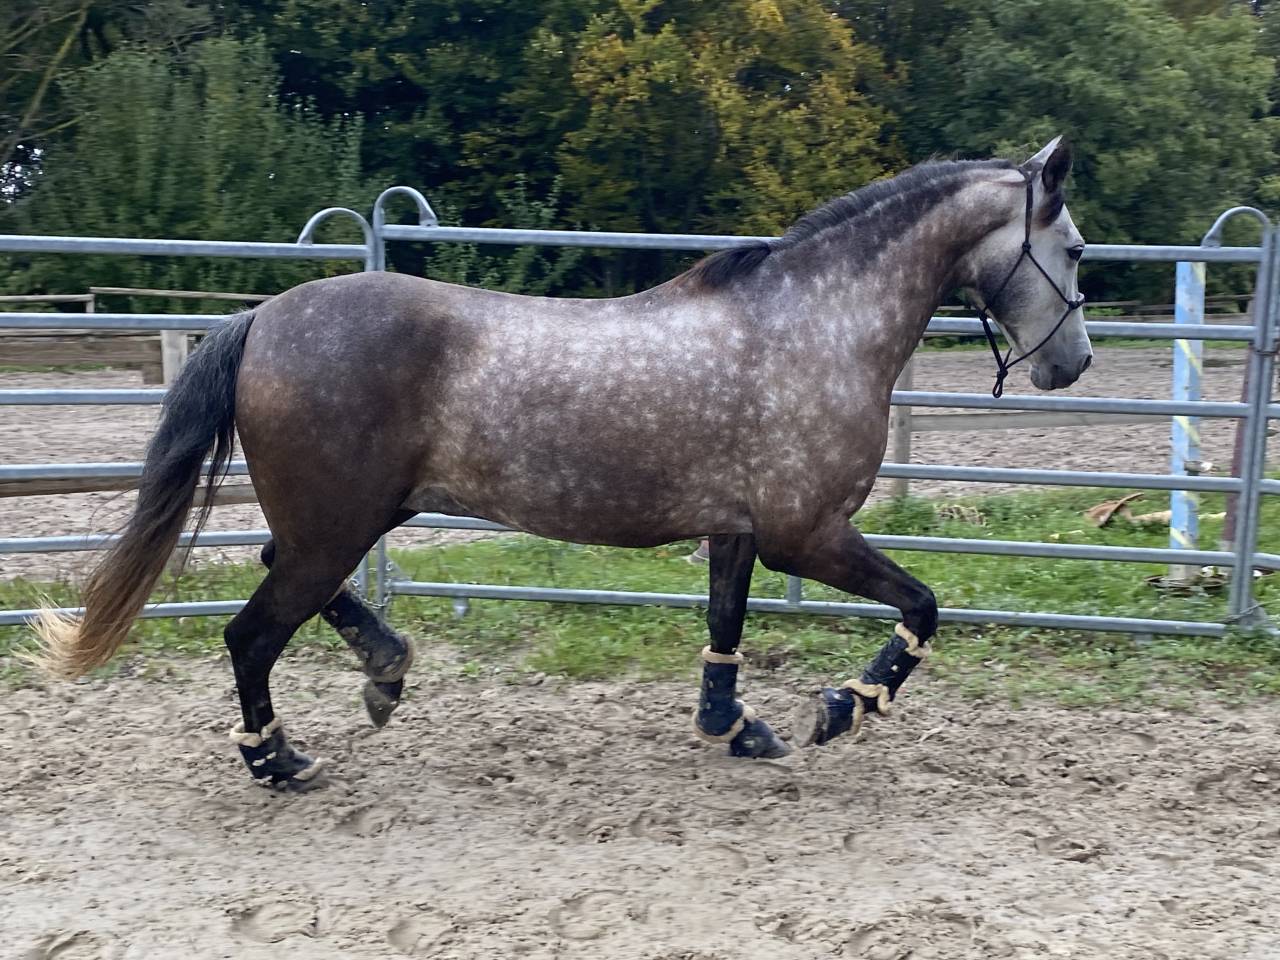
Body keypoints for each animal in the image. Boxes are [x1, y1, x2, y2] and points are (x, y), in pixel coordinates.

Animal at [32, 137, 1091, 789]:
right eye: (1075, 249)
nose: (1071, 364)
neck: (812, 325)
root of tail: (261, 320)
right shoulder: (808, 534)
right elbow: (924, 605)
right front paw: (844, 707)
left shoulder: (740, 530)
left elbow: (725, 626)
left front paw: (734, 726)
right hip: (337, 525)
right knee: (251, 634)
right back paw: (277, 761)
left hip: (343, 520)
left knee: (282, 582)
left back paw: (385, 672)